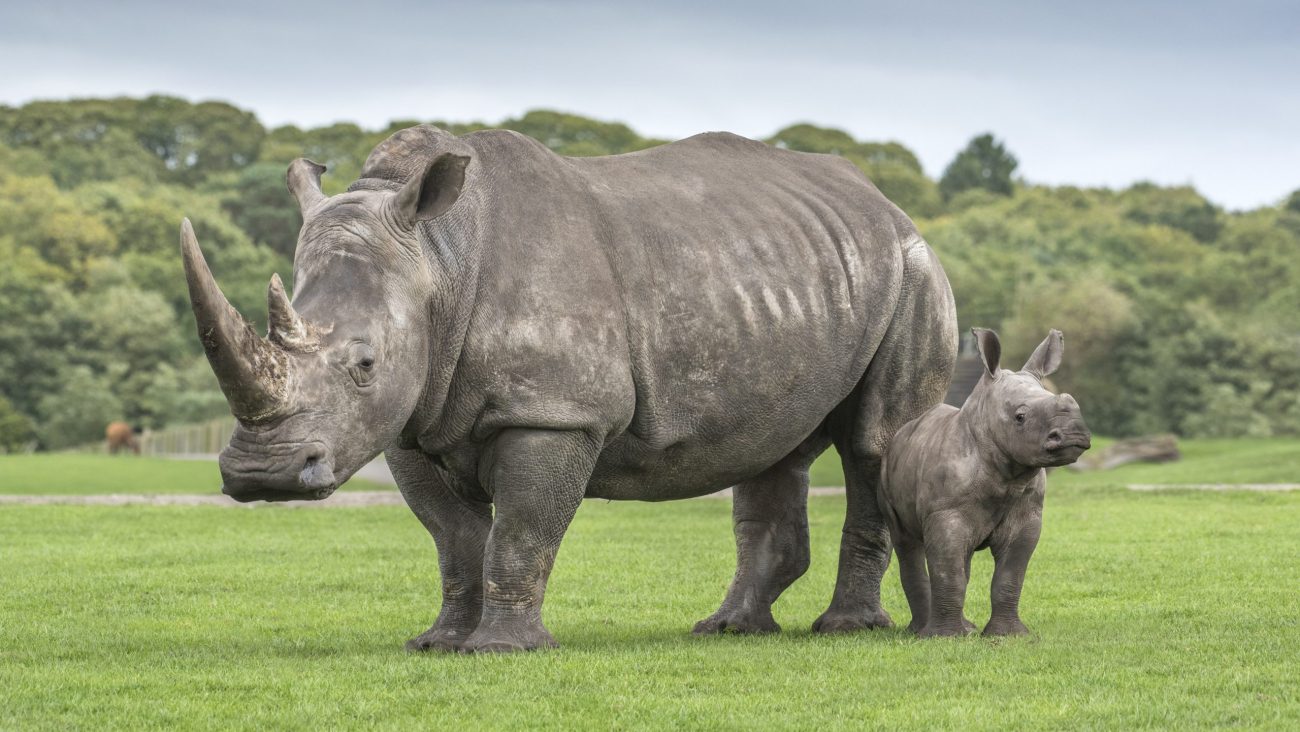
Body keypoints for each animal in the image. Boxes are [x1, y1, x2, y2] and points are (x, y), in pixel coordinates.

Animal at [180, 124, 956, 652]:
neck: (439, 257)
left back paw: (844, 629)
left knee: (874, 443)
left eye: (365, 365)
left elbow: (521, 528)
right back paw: (729, 629)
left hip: (913, 270)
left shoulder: (555, 412)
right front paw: (439, 643)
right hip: (794, 273)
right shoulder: (410, 421)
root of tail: (887, 204)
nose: (263, 476)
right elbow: (454, 537)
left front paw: (500, 650)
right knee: (772, 446)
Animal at [883, 328, 1086, 639]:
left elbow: (1009, 576)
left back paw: (964, 628)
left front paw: (1009, 636)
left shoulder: (1027, 515)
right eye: (1020, 416)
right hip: (887, 469)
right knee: (907, 542)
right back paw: (921, 631)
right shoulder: (945, 513)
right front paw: (944, 638)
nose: (1074, 434)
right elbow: (948, 572)